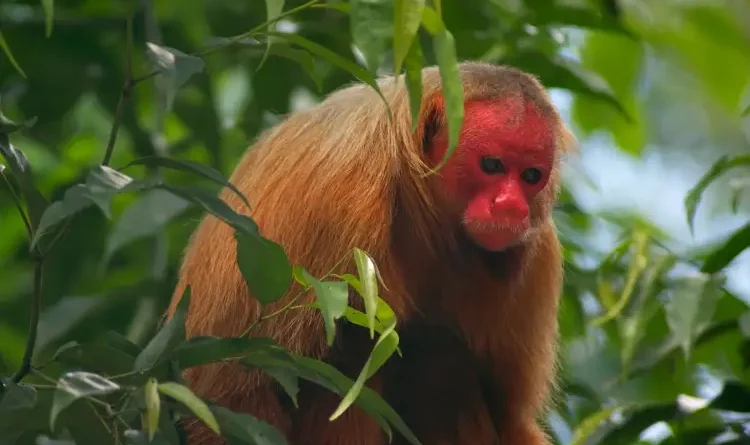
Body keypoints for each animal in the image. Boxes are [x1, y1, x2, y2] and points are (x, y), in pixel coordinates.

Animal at [167, 61, 580, 444]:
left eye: (530, 176)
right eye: (492, 165)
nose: (511, 207)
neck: (423, 206)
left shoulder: (538, 254)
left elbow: (510, 417)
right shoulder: (333, 198)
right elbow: (227, 384)